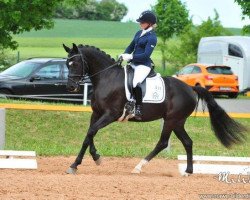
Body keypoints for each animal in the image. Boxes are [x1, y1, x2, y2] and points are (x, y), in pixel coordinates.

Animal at [62, 43, 246, 175]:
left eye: (76, 63)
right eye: (67, 64)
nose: (70, 87)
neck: (107, 78)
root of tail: (190, 87)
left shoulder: (110, 115)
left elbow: (91, 132)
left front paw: (80, 163)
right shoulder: (97, 113)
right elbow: (89, 134)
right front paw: (89, 159)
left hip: (171, 120)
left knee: (163, 143)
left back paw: (138, 167)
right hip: (177, 122)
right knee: (187, 142)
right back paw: (188, 171)